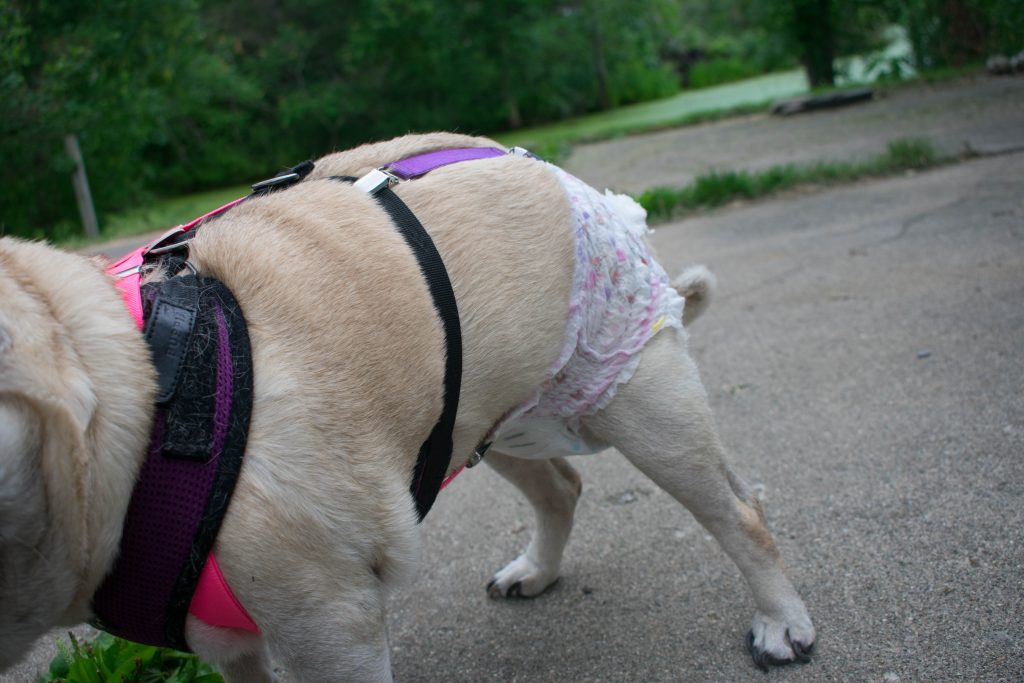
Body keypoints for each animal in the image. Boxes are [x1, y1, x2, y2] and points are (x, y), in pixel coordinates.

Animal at [0, 132, 815, 679]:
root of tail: (541, 166)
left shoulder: (332, 627)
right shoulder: (236, 646)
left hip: (642, 406)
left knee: (738, 511)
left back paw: (782, 622)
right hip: (485, 420)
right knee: (560, 487)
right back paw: (537, 570)